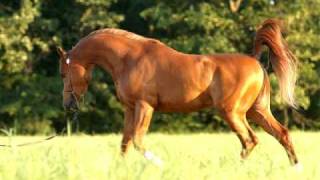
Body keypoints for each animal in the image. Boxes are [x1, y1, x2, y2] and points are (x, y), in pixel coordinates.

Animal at [57, 18, 300, 166]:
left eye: (63, 73)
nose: (68, 105)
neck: (129, 58)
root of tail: (255, 61)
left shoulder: (145, 106)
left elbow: (137, 140)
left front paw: (160, 165)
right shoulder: (130, 108)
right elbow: (125, 142)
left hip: (233, 113)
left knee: (250, 141)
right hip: (256, 111)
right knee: (282, 134)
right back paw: (295, 167)